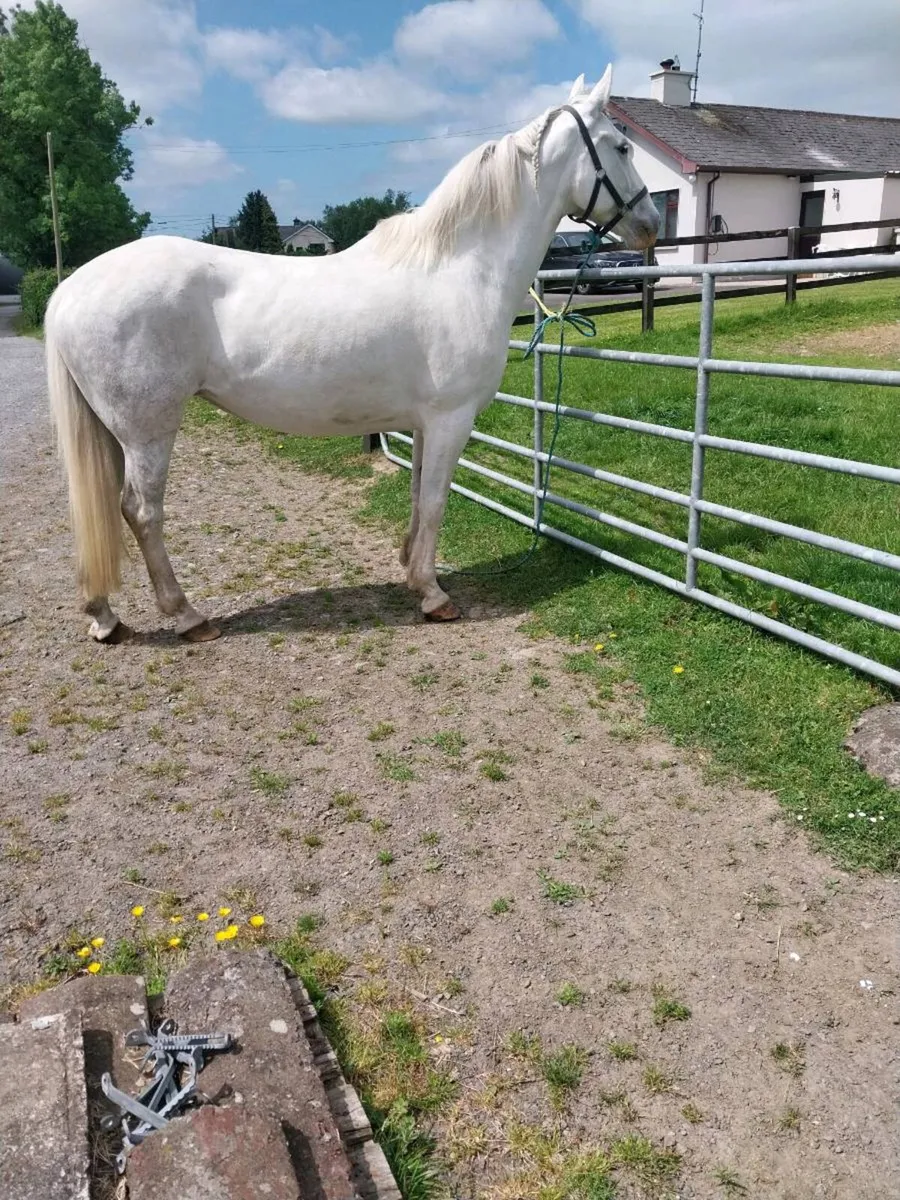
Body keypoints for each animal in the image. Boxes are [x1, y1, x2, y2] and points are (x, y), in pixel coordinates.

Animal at [46, 65, 658, 644]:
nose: (650, 225)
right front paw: (433, 595)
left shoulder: (423, 424)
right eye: (621, 148)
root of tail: (69, 290)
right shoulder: (451, 419)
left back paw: (104, 617)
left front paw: (413, 573)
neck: (461, 268)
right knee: (141, 511)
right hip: (148, 431)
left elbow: (417, 496)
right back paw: (187, 616)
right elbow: (436, 501)